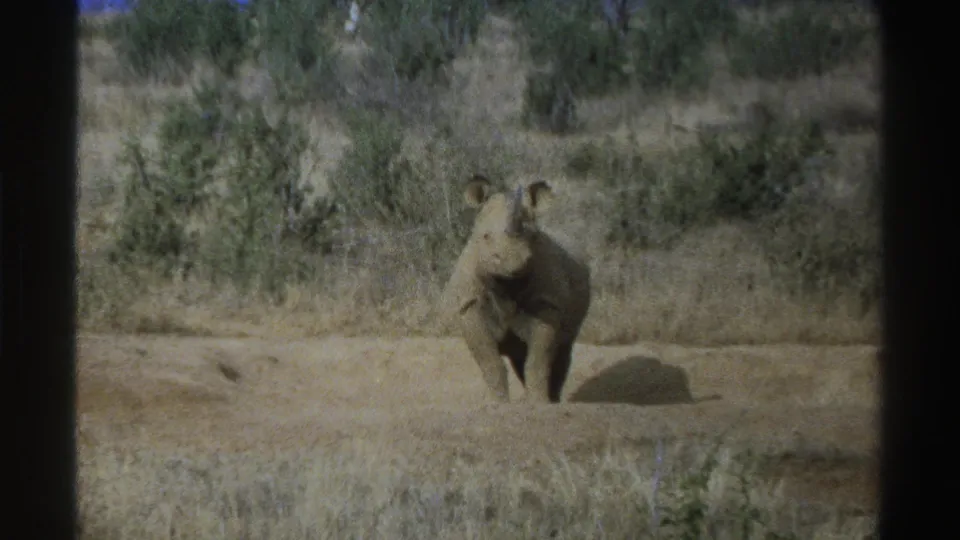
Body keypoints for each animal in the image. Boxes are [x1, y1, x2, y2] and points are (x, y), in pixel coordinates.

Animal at [442, 174, 592, 404]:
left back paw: (553, 400)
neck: (506, 282)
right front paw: (499, 404)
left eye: (533, 237)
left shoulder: (547, 302)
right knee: (520, 356)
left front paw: (539, 403)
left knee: (562, 349)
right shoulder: (470, 304)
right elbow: (490, 362)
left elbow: (539, 360)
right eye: (485, 237)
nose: (514, 261)